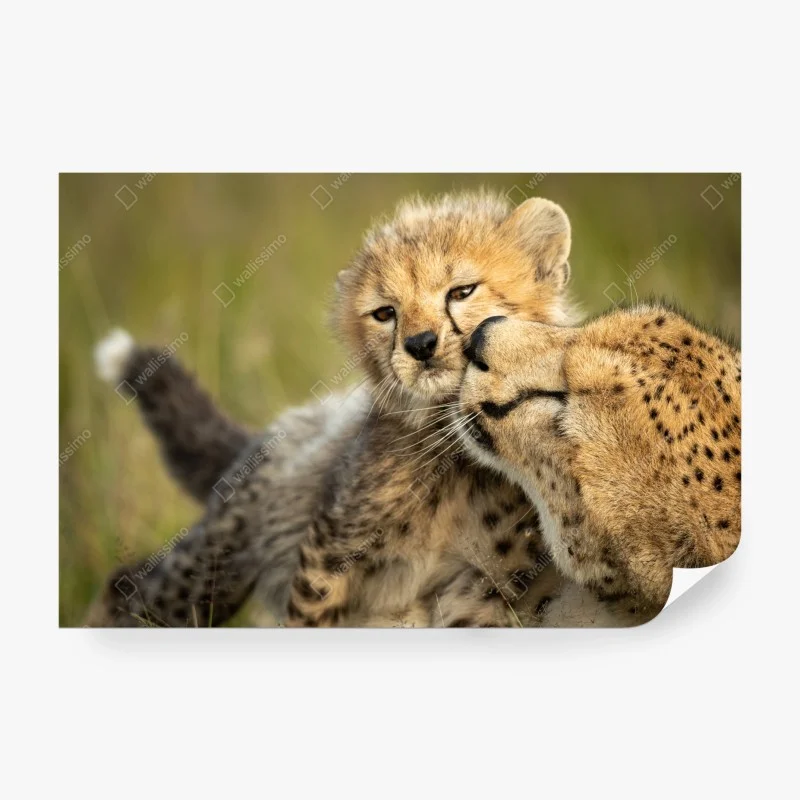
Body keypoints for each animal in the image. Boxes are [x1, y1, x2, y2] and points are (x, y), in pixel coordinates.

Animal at [86, 189, 587, 627]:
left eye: (462, 291)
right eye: (385, 313)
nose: (420, 344)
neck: (450, 447)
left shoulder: (487, 587)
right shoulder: (329, 547)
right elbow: (311, 616)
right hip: (216, 565)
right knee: (130, 590)